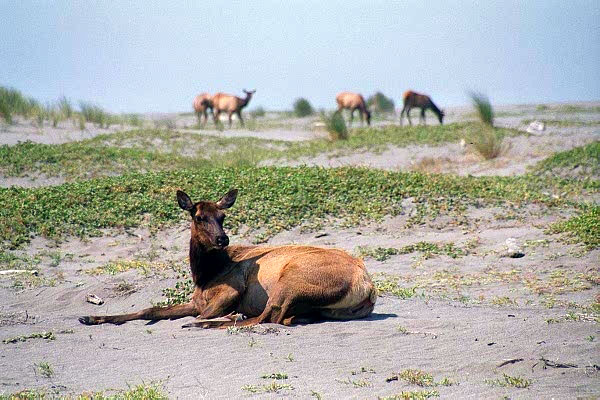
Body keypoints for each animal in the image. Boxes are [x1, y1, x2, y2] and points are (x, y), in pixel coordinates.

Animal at [79, 189, 378, 326]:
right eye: (199, 217)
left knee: (267, 315)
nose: (222, 239)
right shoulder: (195, 301)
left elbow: (202, 314)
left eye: (222, 216)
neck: (203, 275)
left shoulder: (231, 291)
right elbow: (148, 309)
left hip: (291, 280)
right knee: (282, 317)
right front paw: (90, 318)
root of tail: (368, 287)